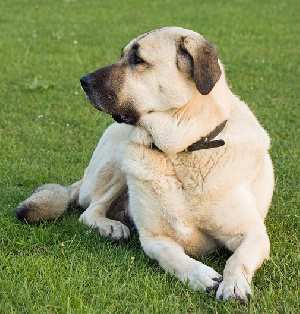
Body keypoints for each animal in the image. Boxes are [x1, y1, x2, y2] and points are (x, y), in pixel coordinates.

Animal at [15, 27, 274, 302]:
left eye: (137, 60)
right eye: (122, 55)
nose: (83, 81)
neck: (179, 151)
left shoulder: (253, 234)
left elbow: (238, 259)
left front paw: (234, 285)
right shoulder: (154, 239)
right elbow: (174, 258)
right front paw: (201, 276)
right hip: (118, 162)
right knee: (90, 211)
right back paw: (110, 227)